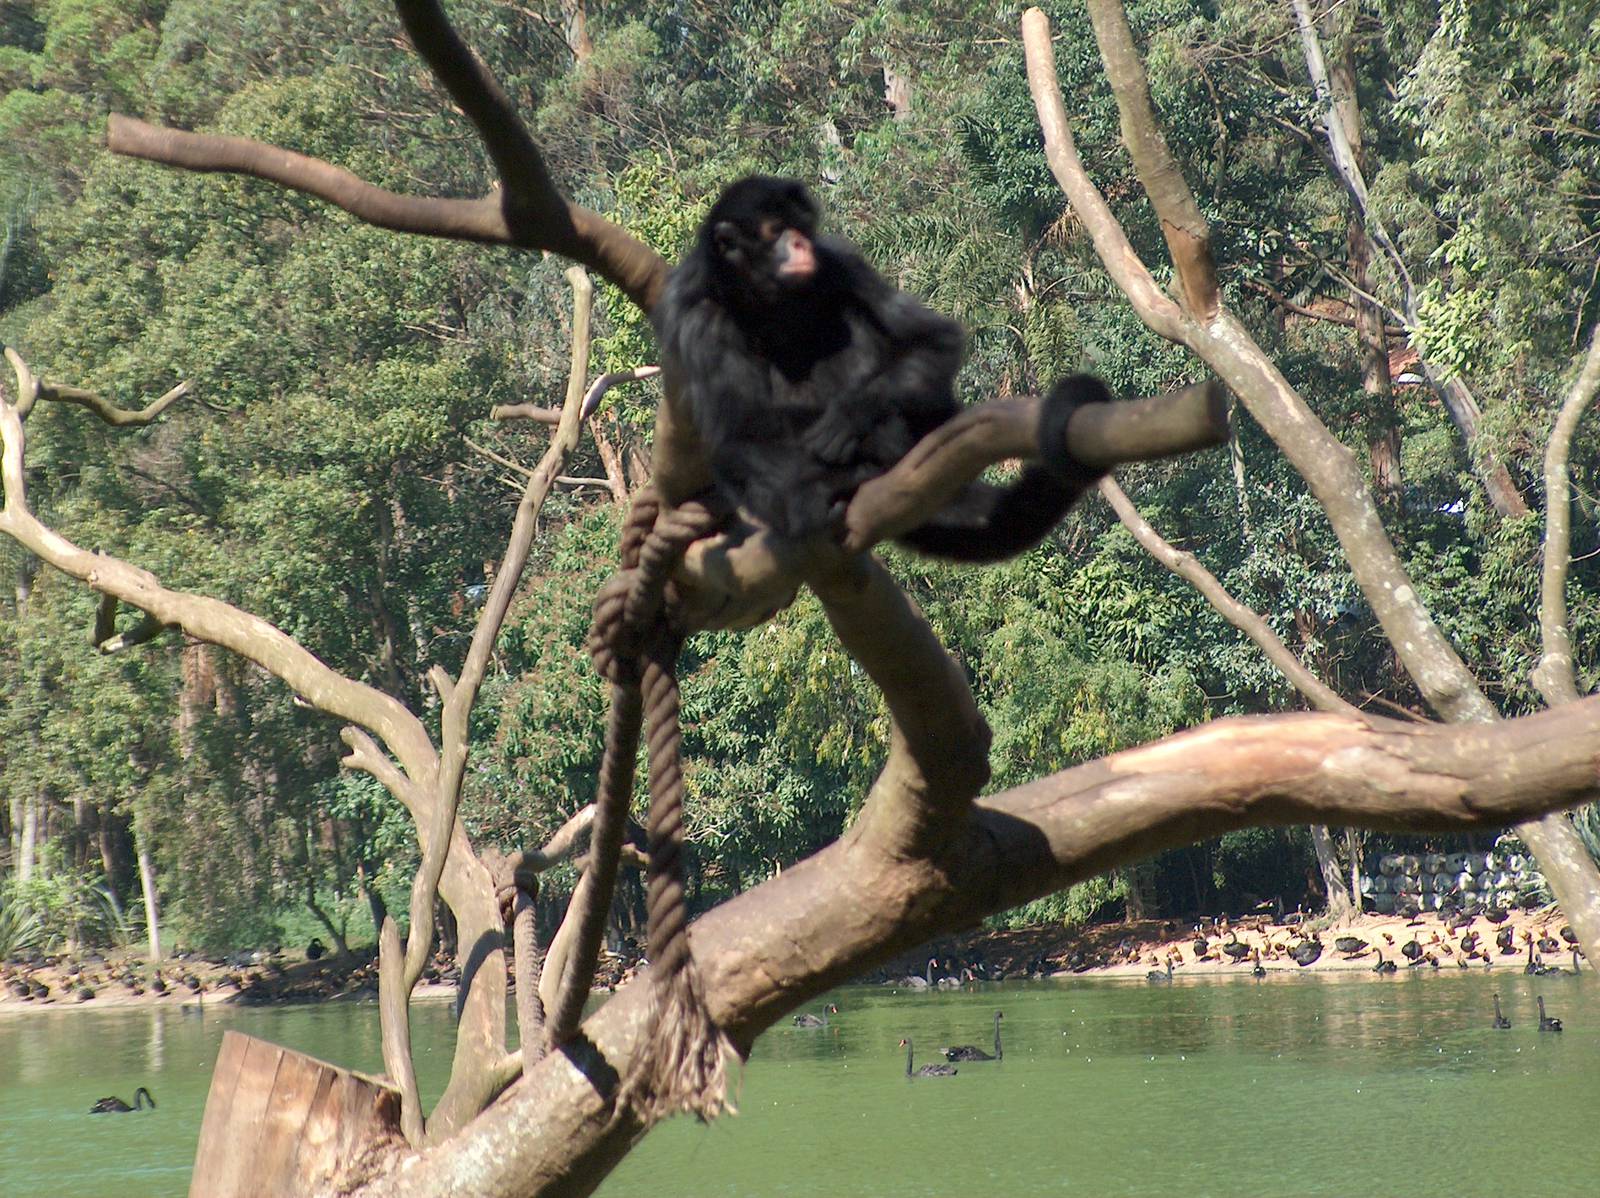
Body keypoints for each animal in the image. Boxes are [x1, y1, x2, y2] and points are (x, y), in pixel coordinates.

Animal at [651, 175, 1110, 562]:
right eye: (775, 230)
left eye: (799, 227)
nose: (799, 243)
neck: (763, 298)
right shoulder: (695, 315)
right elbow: (737, 436)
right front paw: (806, 497)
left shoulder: (837, 261)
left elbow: (934, 341)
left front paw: (854, 415)